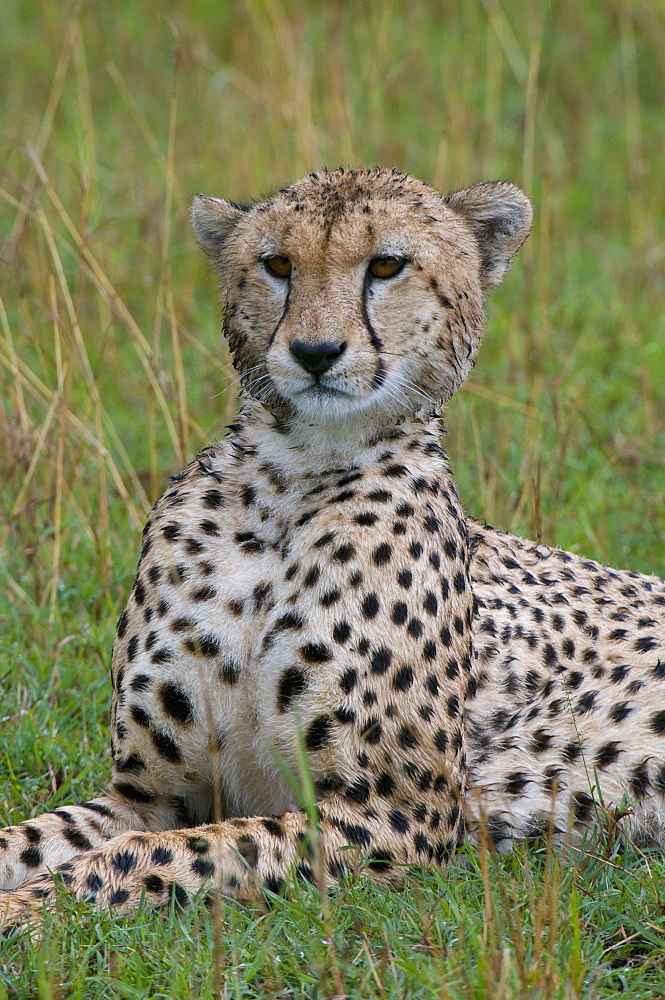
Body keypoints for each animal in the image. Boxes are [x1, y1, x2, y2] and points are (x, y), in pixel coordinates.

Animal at [1, 166, 664, 928]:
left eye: (385, 266)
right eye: (278, 265)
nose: (315, 353)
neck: (292, 478)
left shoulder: (397, 816)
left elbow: (141, 858)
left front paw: (25, 908)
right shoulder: (146, 796)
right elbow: (37, 839)